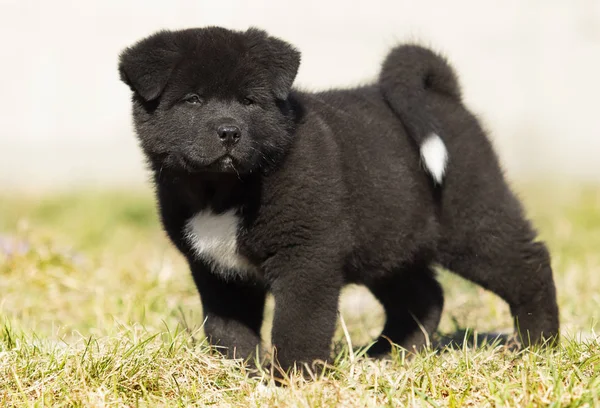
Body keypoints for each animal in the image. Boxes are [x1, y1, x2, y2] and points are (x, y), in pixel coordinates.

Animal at [119, 24, 560, 370]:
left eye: (249, 100)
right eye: (192, 100)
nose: (229, 132)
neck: (223, 190)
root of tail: (445, 96)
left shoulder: (306, 256)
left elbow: (298, 325)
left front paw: (292, 379)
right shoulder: (217, 270)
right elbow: (227, 328)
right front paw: (240, 373)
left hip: (471, 219)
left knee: (528, 263)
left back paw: (539, 344)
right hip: (389, 240)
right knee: (424, 296)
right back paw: (389, 354)